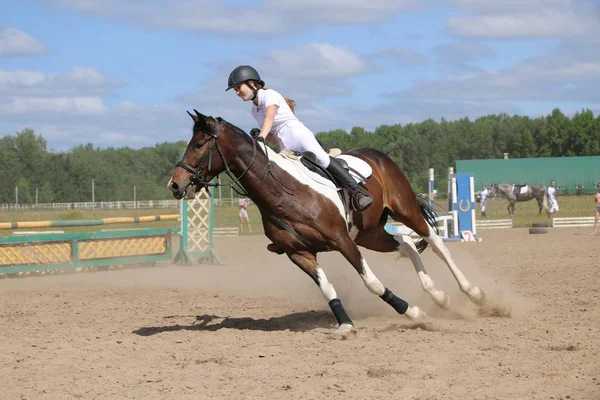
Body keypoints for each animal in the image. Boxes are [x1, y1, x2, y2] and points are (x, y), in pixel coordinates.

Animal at [166, 111, 486, 340]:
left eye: (198, 145)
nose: (175, 185)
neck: (283, 192)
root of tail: (377, 154)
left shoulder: (342, 241)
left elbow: (371, 282)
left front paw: (411, 312)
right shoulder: (300, 254)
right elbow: (327, 288)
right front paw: (345, 324)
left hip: (403, 210)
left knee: (435, 242)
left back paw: (473, 292)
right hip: (369, 233)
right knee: (406, 245)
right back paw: (440, 297)